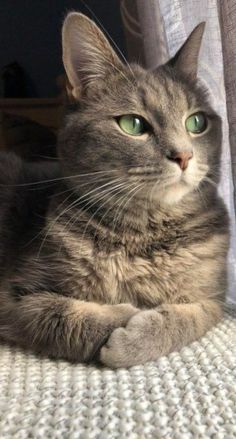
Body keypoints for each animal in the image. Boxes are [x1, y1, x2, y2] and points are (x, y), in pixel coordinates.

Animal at [0, 12, 229, 368]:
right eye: (133, 125)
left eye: (197, 122)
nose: (184, 155)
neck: (144, 236)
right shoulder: (14, 295)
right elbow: (58, 315)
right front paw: (124, 317)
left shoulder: (213, 296)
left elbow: (191, 316)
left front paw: (139, 336)